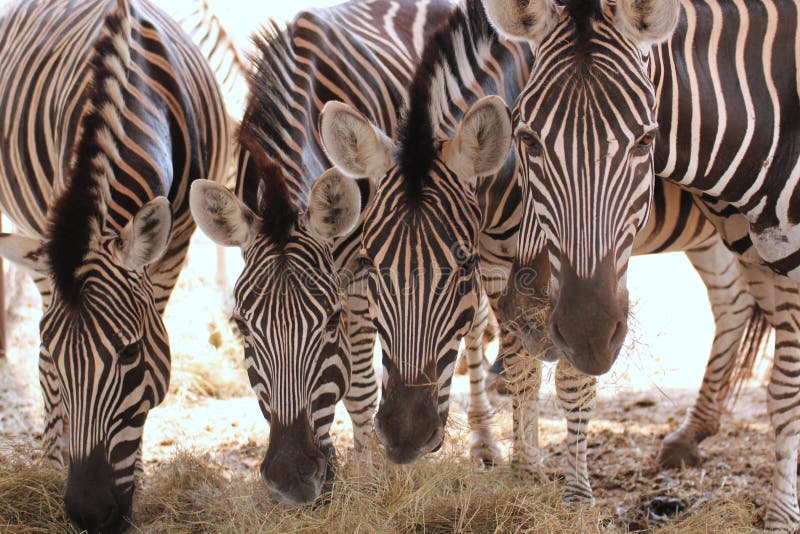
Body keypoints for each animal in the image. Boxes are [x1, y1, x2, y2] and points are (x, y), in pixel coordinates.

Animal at [0, 0, 229, 531]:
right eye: (55, 359)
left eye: (129, 354)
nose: (87, 513)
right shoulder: (56, 230)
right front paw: (54, 459)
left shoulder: (174, 247)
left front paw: (141, 470)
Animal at [189, 0, 462, 505]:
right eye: (242, 328)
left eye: (330, 321)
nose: (292, 479)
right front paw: (333, 475)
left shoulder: (359, 277)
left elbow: (359, 389)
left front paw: (375, 480)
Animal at [316, 0, 769, 502]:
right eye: (371, 262)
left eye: (462, 264)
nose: (403, 437)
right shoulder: (503, 273)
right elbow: (521, 369)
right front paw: (525, 467)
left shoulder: (581, 274)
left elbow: (572, 375)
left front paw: (576, 490)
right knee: (732, 302)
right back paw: (692, 434)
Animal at [483, 0, 800, 529]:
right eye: (527, 139)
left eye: (645, 141)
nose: (588, 333)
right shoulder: (770, 262)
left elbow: (787, 393)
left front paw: (780, 518)